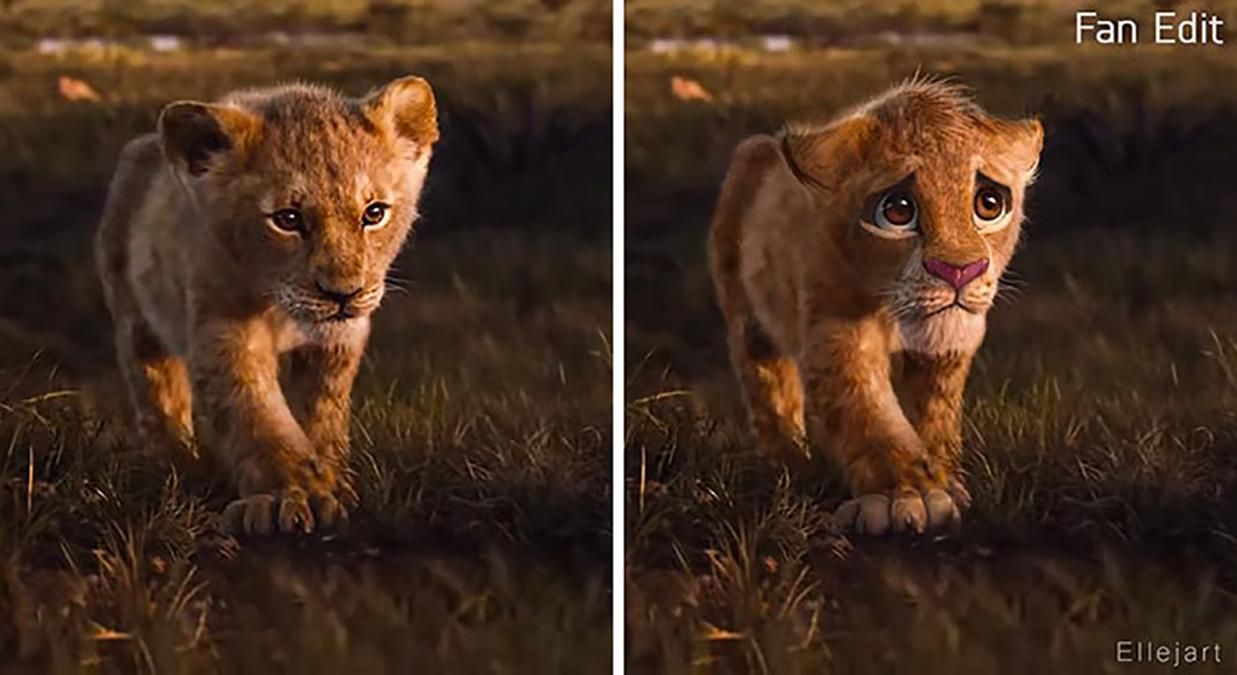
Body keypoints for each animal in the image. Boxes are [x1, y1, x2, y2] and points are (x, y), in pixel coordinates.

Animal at [95, 76, 439, 535]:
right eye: (288, 219)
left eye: (374, 213)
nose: (343, 294)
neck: (278, 305)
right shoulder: (224, 328)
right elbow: (257, 416)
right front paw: (289, 497)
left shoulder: (340, 339)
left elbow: (323, 410)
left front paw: (333, 481)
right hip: (135, 316)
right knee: (156, 391)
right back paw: (175, 463)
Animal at [708, 79, 1043, 535]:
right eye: (898, 210)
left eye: (989, 204)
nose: (960, 271)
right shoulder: (837, 329)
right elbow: (867, 414)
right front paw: (907, 497)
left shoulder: (950, 347)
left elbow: (935, 410)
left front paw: (946, 480)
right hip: (747, 315)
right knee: (766, 384)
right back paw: (788, 464)